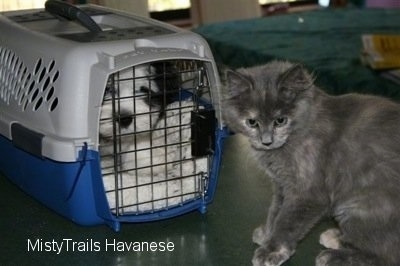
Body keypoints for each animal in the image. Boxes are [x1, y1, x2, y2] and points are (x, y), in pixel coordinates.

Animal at [223, 60, 400, 266]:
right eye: (252, 122)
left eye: (280, 120)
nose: (266, 141)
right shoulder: (282, 184)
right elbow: (276, 210)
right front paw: (268, 233)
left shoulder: (308, 192)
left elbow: (287, 221)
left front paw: (272, 250)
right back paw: (337, 237)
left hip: (362, 205)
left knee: (384, 254)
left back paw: (333, 256)